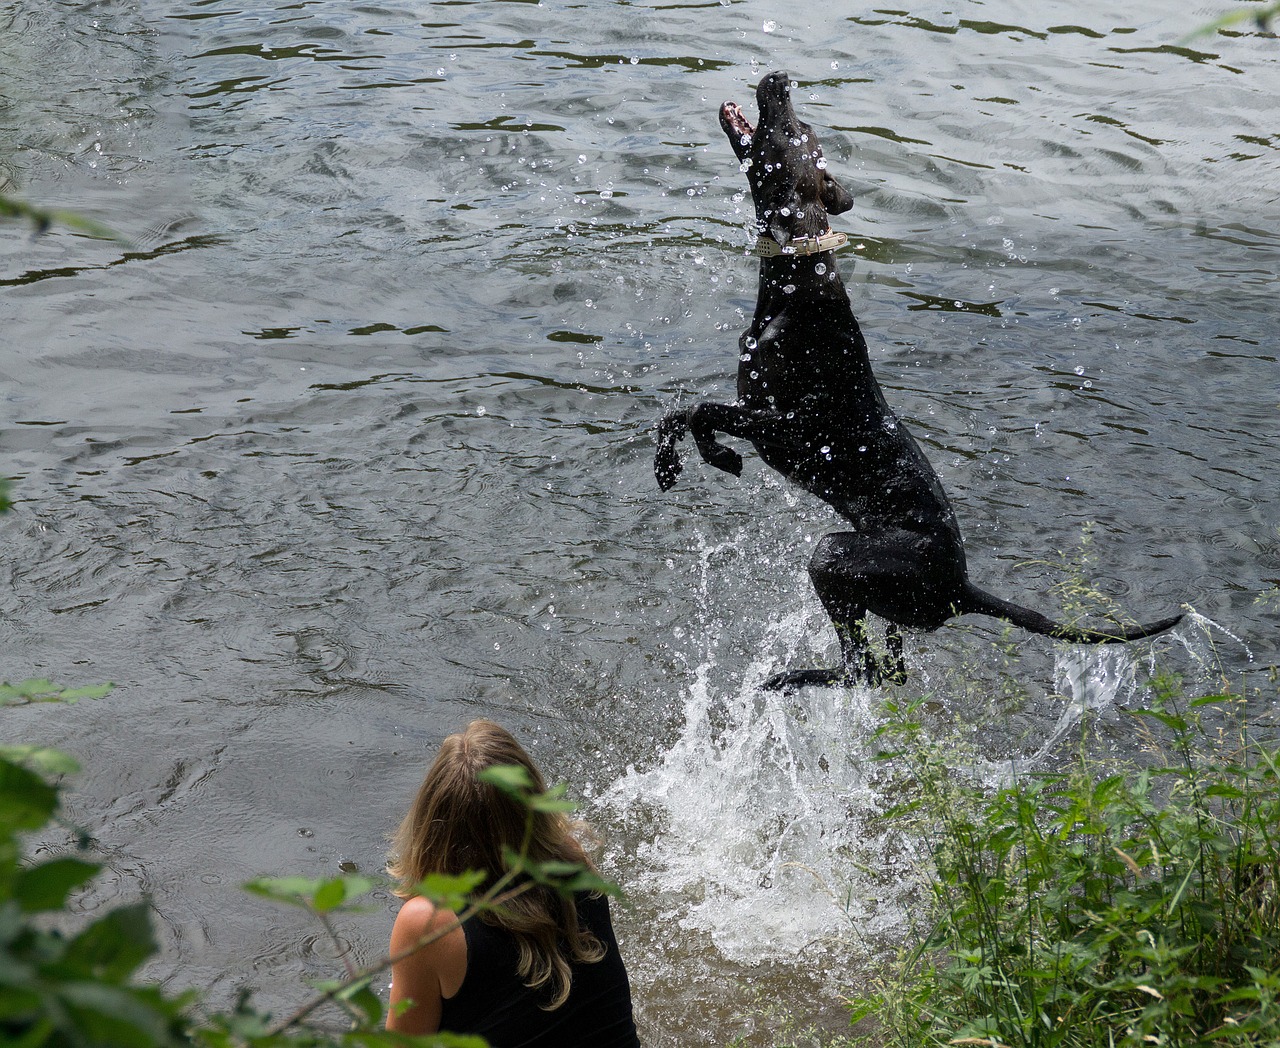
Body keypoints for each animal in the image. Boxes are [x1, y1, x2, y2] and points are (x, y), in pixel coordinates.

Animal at [655, 71, 1182, 690]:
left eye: (795, 129)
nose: (780, 79)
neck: (798, 276)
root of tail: (963, 589)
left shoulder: (786, 426)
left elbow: (700, 410)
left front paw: (714, 456)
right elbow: (675, 411)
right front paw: (670, 465)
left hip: (834, 555)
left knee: (862, 669)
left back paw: (788, 677)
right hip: (884, 602)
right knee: (889, 671)